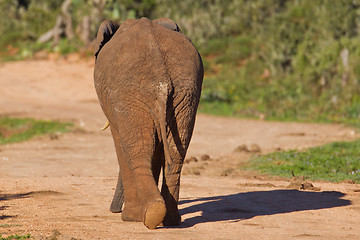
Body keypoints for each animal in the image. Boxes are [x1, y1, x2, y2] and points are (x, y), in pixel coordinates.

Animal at [93, 17, 204, 229]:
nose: (113, 209)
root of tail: (159, 68)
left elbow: (121, 144)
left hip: (130, 94)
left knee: (137, 150)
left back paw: (139, 216)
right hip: (185, 94)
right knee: (175, 154)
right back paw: (167, 218)